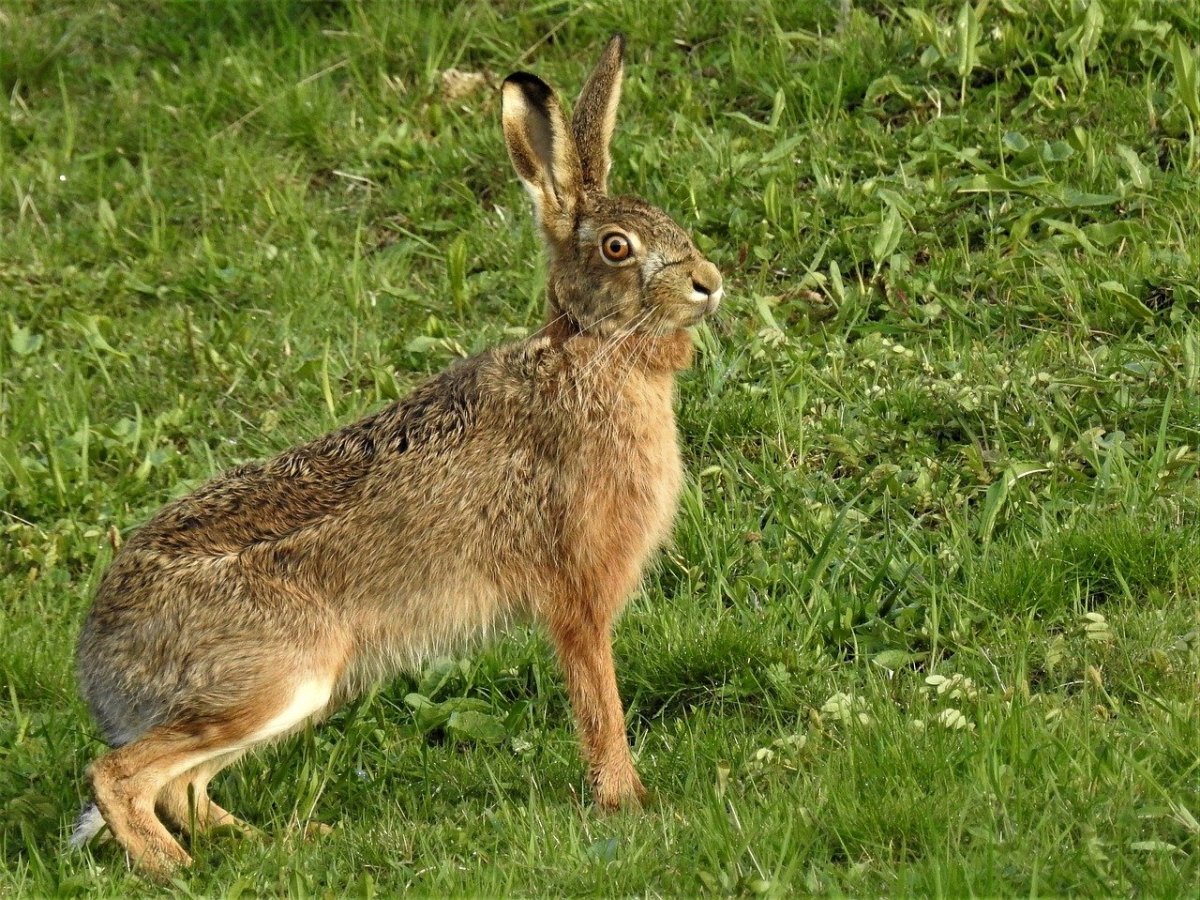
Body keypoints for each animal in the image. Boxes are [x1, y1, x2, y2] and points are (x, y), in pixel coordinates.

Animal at [71, 33, 723, 876]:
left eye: (670, 223)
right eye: (618, 247)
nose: (710, 283)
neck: (594, 350)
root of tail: (102, 670)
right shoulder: (579, 591)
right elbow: (598, 700)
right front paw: (628, 801)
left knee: (180, 787)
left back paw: (277, 843)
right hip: (276, 678)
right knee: (121, 775)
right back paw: (175, 871)